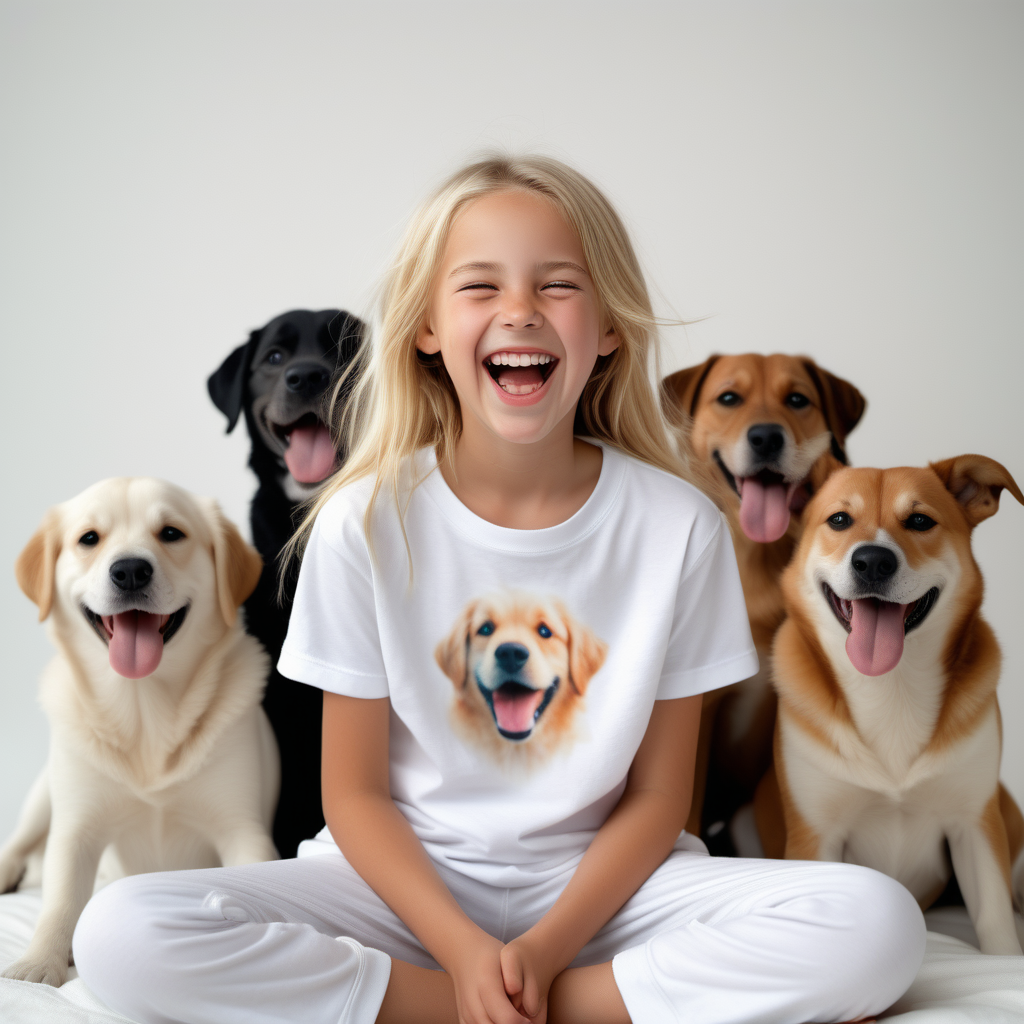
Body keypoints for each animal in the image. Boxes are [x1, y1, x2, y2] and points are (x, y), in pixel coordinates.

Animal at [0, 477, 280, 983]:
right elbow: (59, 900)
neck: (143, 710)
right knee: (19, 842)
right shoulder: (75, 830)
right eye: (89, 538)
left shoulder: (243, 831)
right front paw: (39, 962)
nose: (130, 571)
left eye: (171, 533)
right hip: (43, 796)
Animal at [757, 456, 1024, 950]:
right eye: (839, 520)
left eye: (919, 521)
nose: (873, 561)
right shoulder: (815, 835)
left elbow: (996, 927)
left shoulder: (975, 824)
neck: (889, 688)